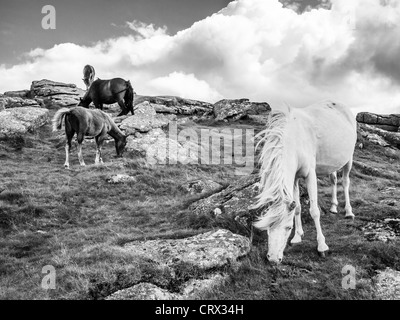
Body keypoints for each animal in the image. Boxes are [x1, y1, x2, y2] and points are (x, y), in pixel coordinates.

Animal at [253, 100, 356, 264]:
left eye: (288, 227)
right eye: (268, 228)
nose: (273, 259)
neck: (295, 138)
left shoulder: (310, 175)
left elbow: (314, 211)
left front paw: (322, 246)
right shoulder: (295, 177)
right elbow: (297, 208)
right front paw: (297, 236)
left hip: (349, 160)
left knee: (345, 182)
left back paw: (348, 212)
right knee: (333, 179)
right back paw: (333, 207)